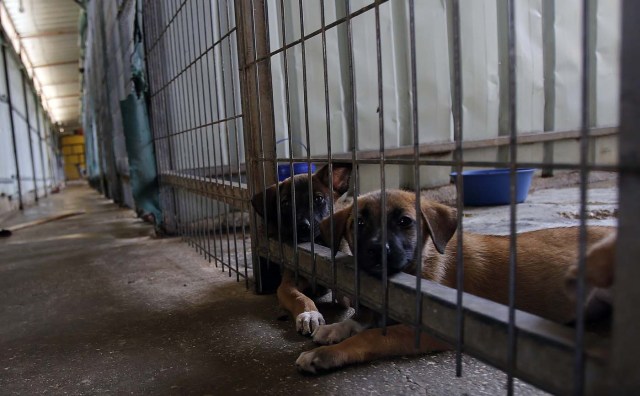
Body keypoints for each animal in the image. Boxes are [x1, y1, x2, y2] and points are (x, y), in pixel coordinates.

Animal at [251, 163, 352, 334]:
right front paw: (310, 314)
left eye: (318, 199)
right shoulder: (286, 285)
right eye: (285, 203)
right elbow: (299, 297)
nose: (303, 226)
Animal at [296, 189, 616, 374]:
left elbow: (371, 335)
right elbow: (360, 320)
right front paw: (333, 329)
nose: (377, 251)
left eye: (404, 222)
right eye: (359, 224)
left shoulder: (430, 330)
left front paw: (324, 355)